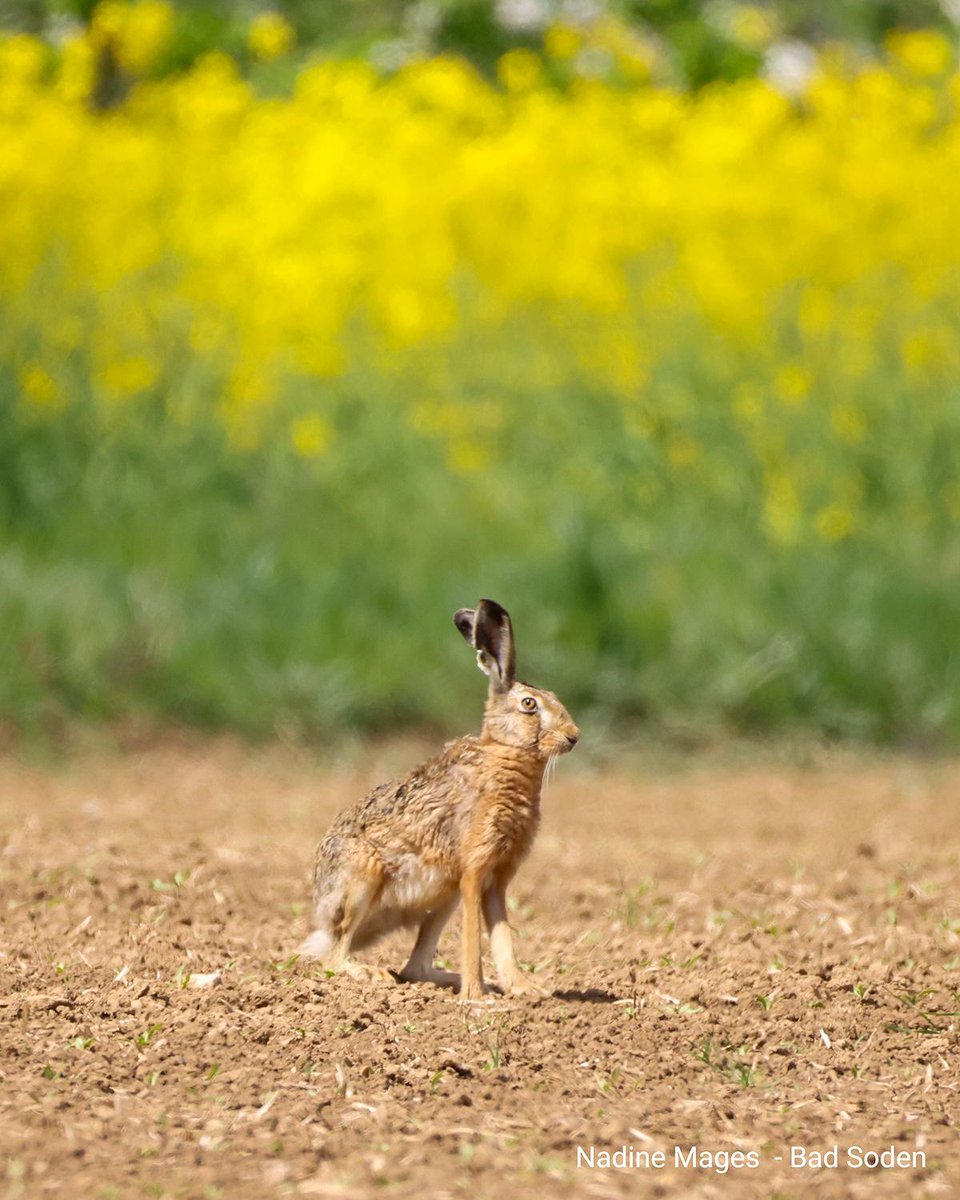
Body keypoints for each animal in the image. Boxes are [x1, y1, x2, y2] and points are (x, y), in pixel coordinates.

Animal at [299, 598, 579, 1001]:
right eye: (529, 704)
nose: (574, 736)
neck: (503, 758)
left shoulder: (497, 877)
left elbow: (503, 937)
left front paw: (524, 989)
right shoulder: (474, 869)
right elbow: (475, 939)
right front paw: (477, 999)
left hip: (443, 894)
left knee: (414, 967)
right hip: (362, 882)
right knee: (334, 955)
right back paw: (373, 973)